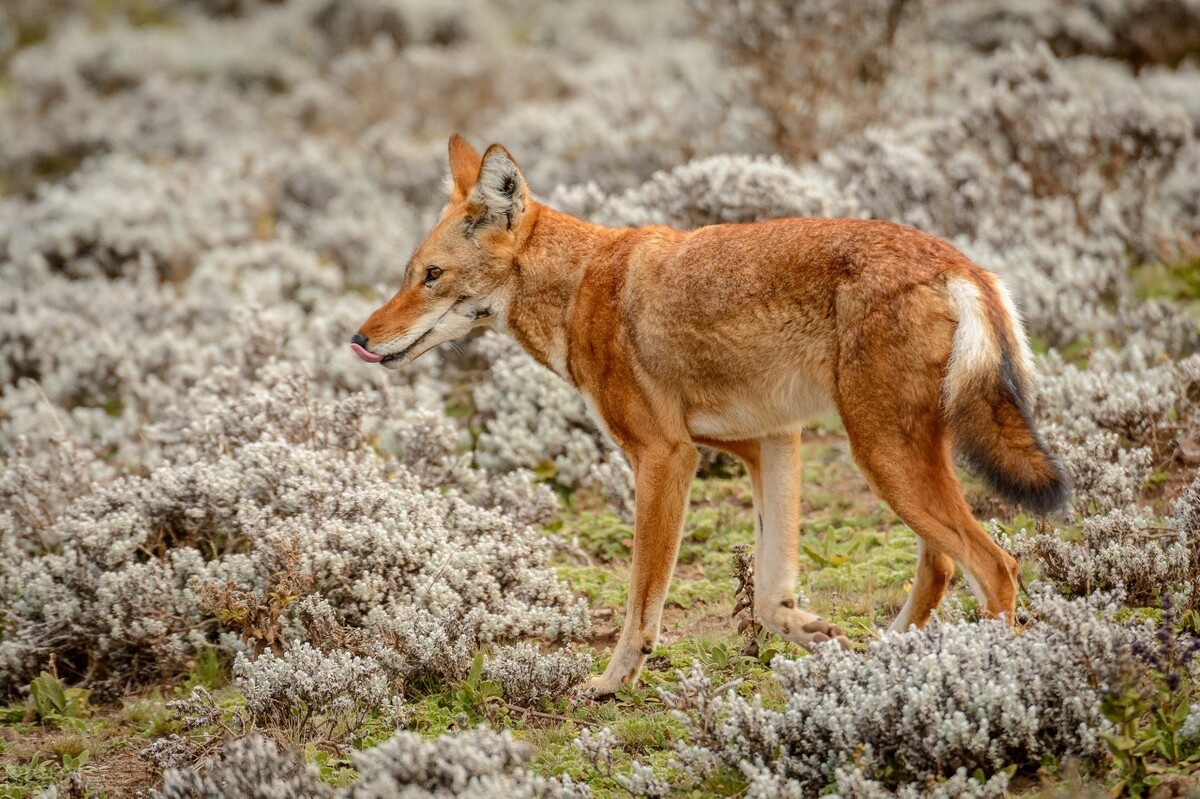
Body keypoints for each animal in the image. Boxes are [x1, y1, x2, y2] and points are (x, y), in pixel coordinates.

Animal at [348, 133, 1070, 695]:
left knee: (996, 568)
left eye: (431, 276)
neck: (580, 287)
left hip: (884, 459)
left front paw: (610, 682)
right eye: (409, 273)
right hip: (898, 463)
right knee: (942, 566)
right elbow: (773, 600)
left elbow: (642, 599)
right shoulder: (771, 444)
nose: (359, 338)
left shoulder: (666, 458)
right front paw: (820, 636)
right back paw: (889, 662)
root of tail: (962, 264)